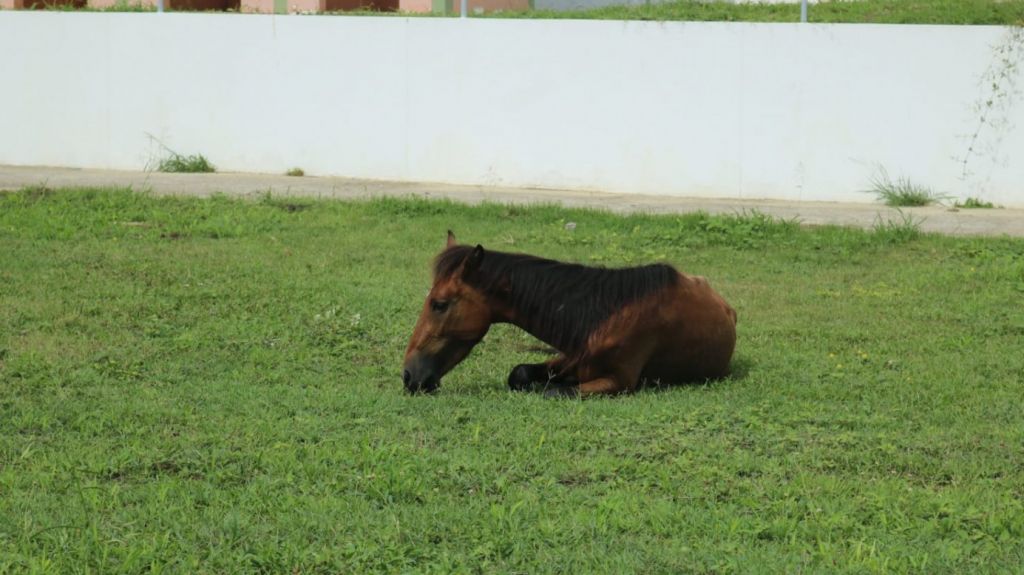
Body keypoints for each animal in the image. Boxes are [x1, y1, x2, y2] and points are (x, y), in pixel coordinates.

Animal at [402, 231, 738, 397]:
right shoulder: (569, 357)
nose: (409, 376)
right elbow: (519, 374)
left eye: (439, 304)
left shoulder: (618, 382)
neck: (605, 317)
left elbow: (555, 392)